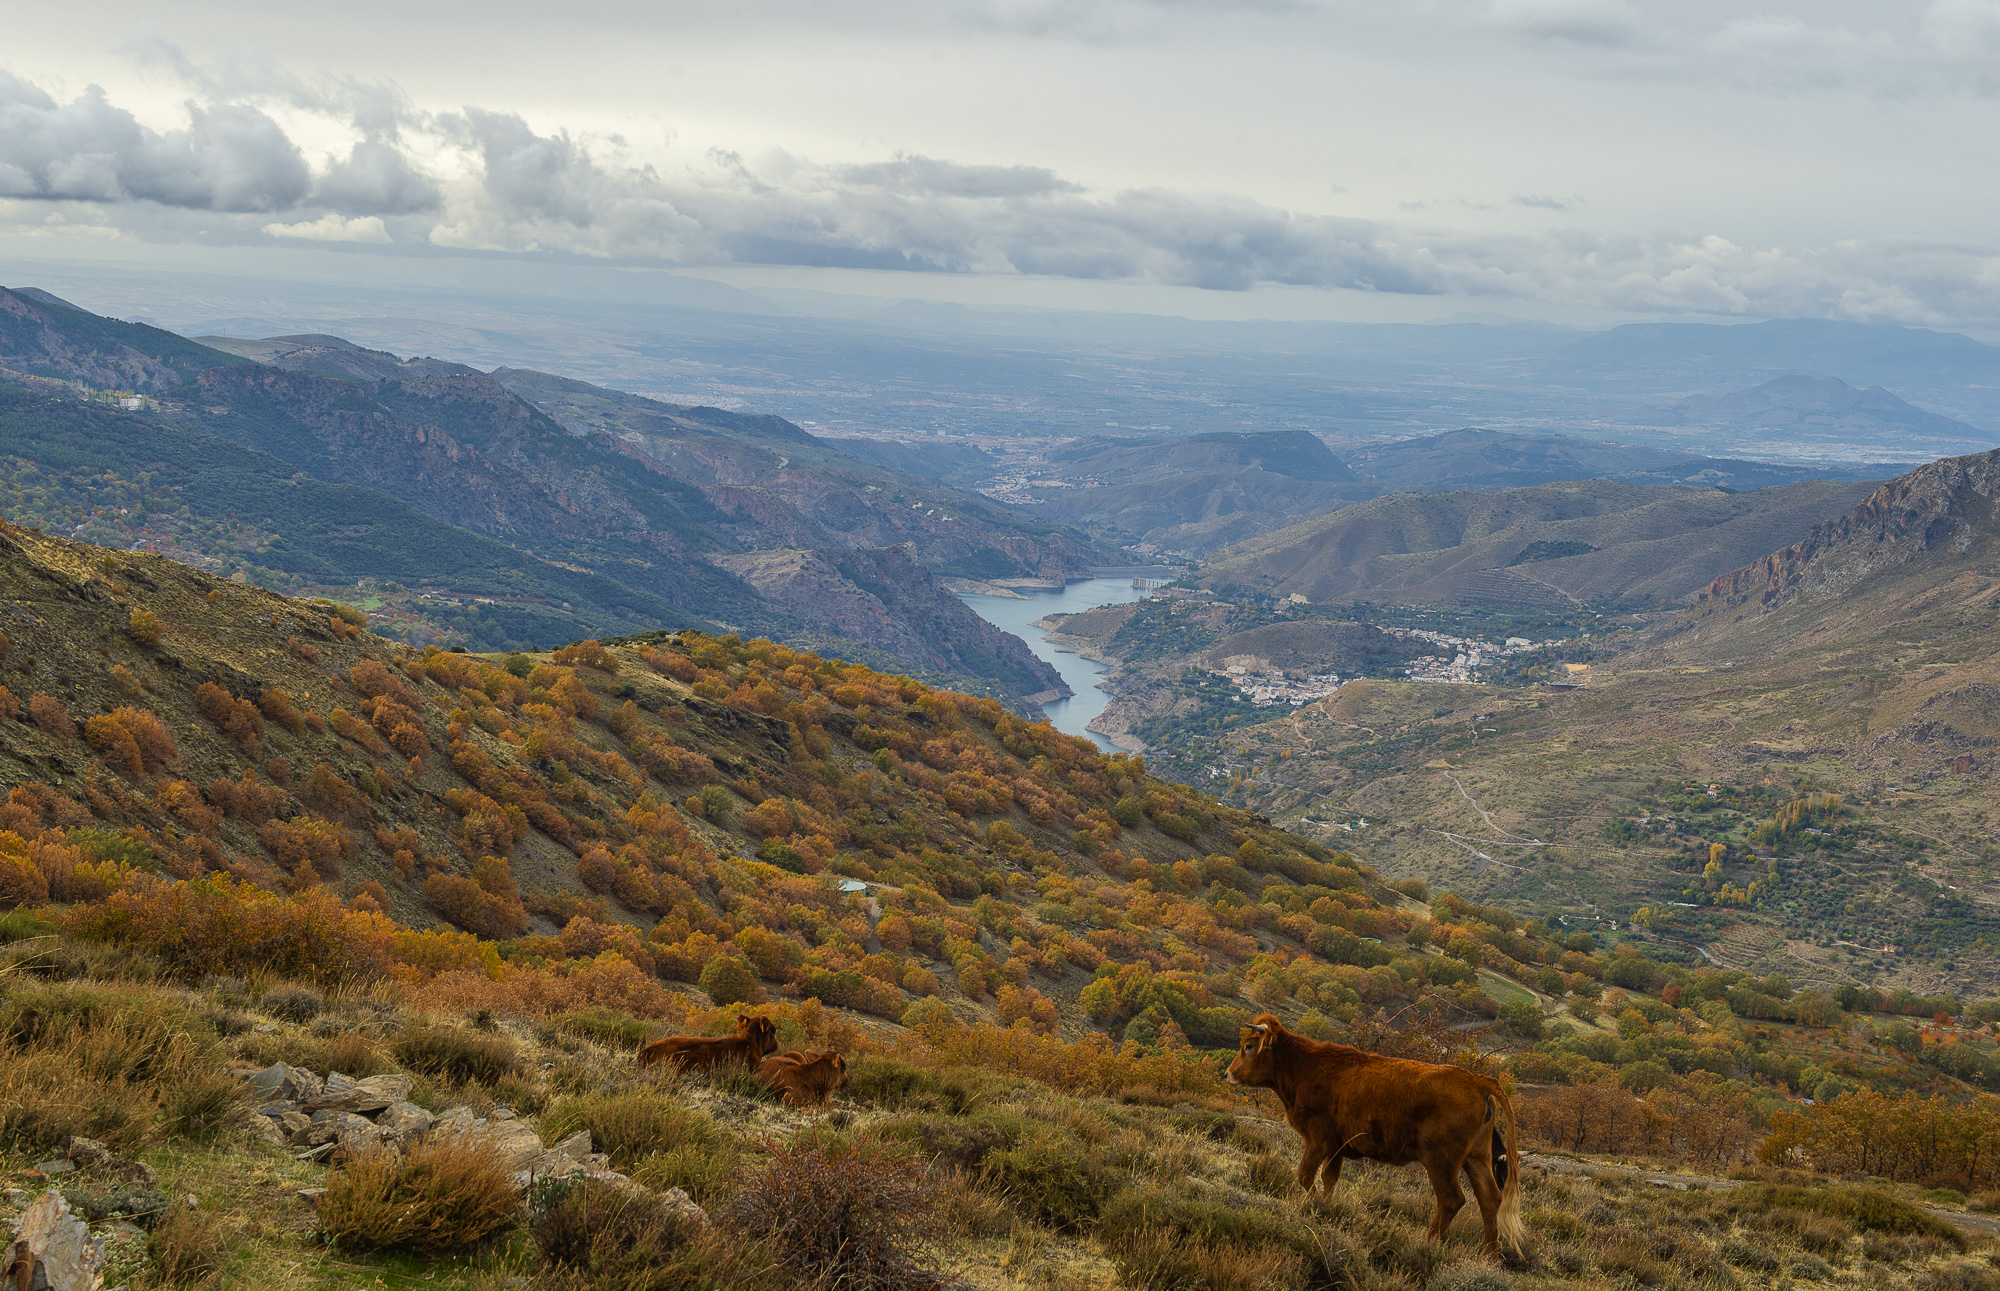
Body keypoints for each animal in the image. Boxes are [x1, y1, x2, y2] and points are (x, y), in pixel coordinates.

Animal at [1224, 1015, 1520, 1263]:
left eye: (1249, 1046)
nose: (1228, 1073)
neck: (1306, 1067)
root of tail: (1475, 1080)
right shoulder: (1337, 1147)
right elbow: (1329, 1178)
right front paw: (1326, 1207)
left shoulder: (1318, 1140)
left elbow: (1305, 1176)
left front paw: (1313, 1205)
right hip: (1476, 1158)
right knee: (1490, 1200)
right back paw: (1490, 1257)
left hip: (1440, 1159)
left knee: (1451, 1199)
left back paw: (1426, 1243)